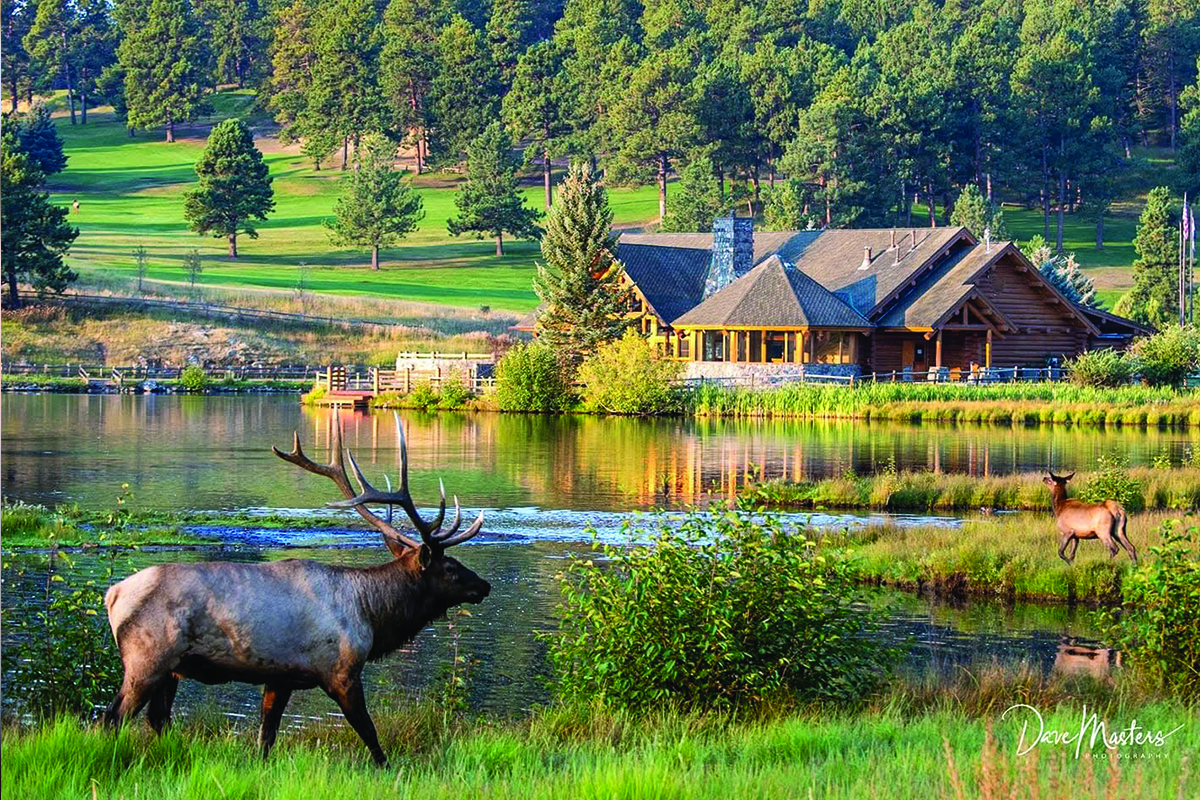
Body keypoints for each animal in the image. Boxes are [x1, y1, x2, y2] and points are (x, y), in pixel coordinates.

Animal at [103, 412, 490, 766]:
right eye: (451, 568)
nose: (484, 585)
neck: (371, 616)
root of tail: (113, 595)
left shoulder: (280, 677)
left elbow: (266, 736)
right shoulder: (340, 671)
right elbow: (369, 733)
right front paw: (388, 770)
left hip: (170, 669)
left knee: (157, 718)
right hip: (147, 659)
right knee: (113, 717)